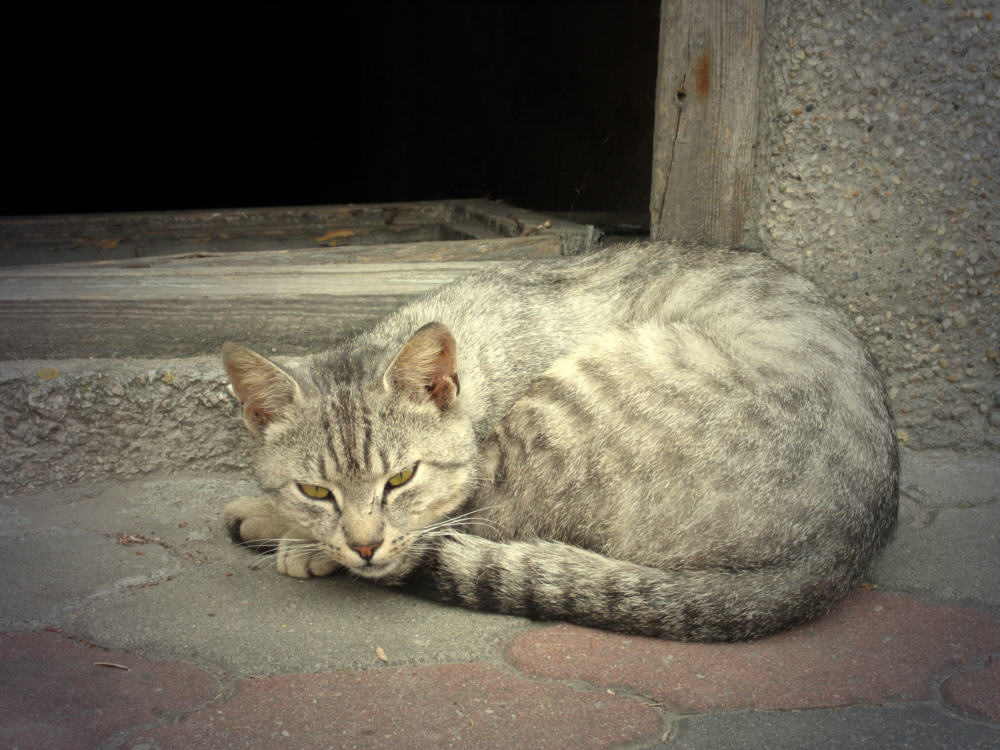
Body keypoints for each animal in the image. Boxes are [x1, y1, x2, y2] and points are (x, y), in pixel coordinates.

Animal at [221, 244, 900, 644]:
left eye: (400, 479)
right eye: (316, 489)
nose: (363, 544)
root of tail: (843, 549)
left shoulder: (478, 479)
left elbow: (441, 520)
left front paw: (295, 537)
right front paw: (277, 514)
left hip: (579, 402)